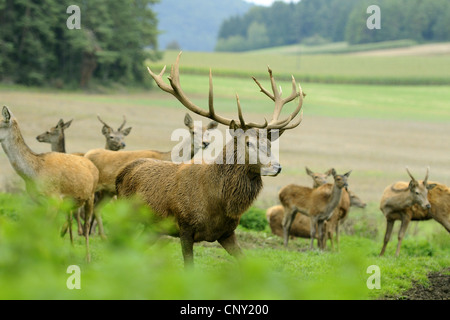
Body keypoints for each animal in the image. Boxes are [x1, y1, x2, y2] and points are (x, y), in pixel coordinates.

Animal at [0, 106, 99, 262]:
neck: (33, 174)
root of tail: (94, 166)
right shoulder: (39, 201)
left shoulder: (54, 199)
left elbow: (48, 227)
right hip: (72, 202)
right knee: (71, 221)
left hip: (91, 195)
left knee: (87, 225)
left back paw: (87, 258)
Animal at [114, 53, 304, 268]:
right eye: (248, 143)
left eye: (270, 142)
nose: (277, 167)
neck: (216, 202)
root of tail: (121, 174)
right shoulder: (185, 226)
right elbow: (189, 266)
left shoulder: (227, 233)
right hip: (126, 214)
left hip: (153, 227)